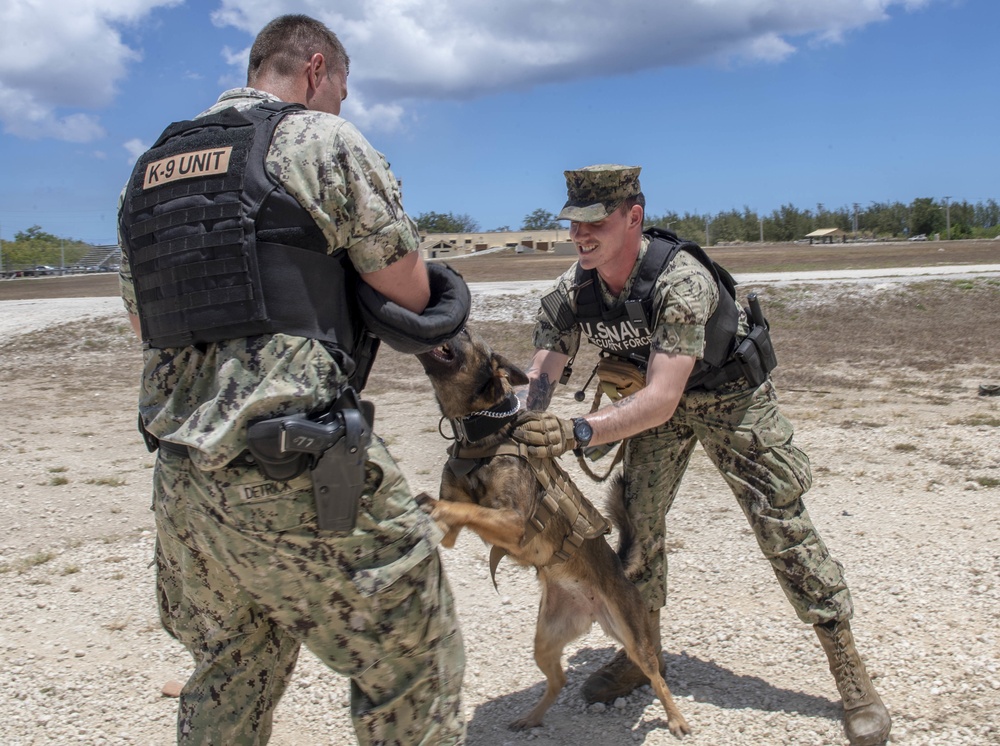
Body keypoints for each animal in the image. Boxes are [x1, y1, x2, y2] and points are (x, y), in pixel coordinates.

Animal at [414, 328, 688, 736]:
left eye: (466, 335)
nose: (452, 325)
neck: (479, 435)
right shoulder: (452, 533)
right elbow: (456, 511)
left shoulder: (512, 521)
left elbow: (466, 508)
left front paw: (428, 504)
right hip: (545, 640)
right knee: (558, 680)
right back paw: (531, 717)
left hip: (633, 639)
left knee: (655, 675)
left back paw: (676, 718)